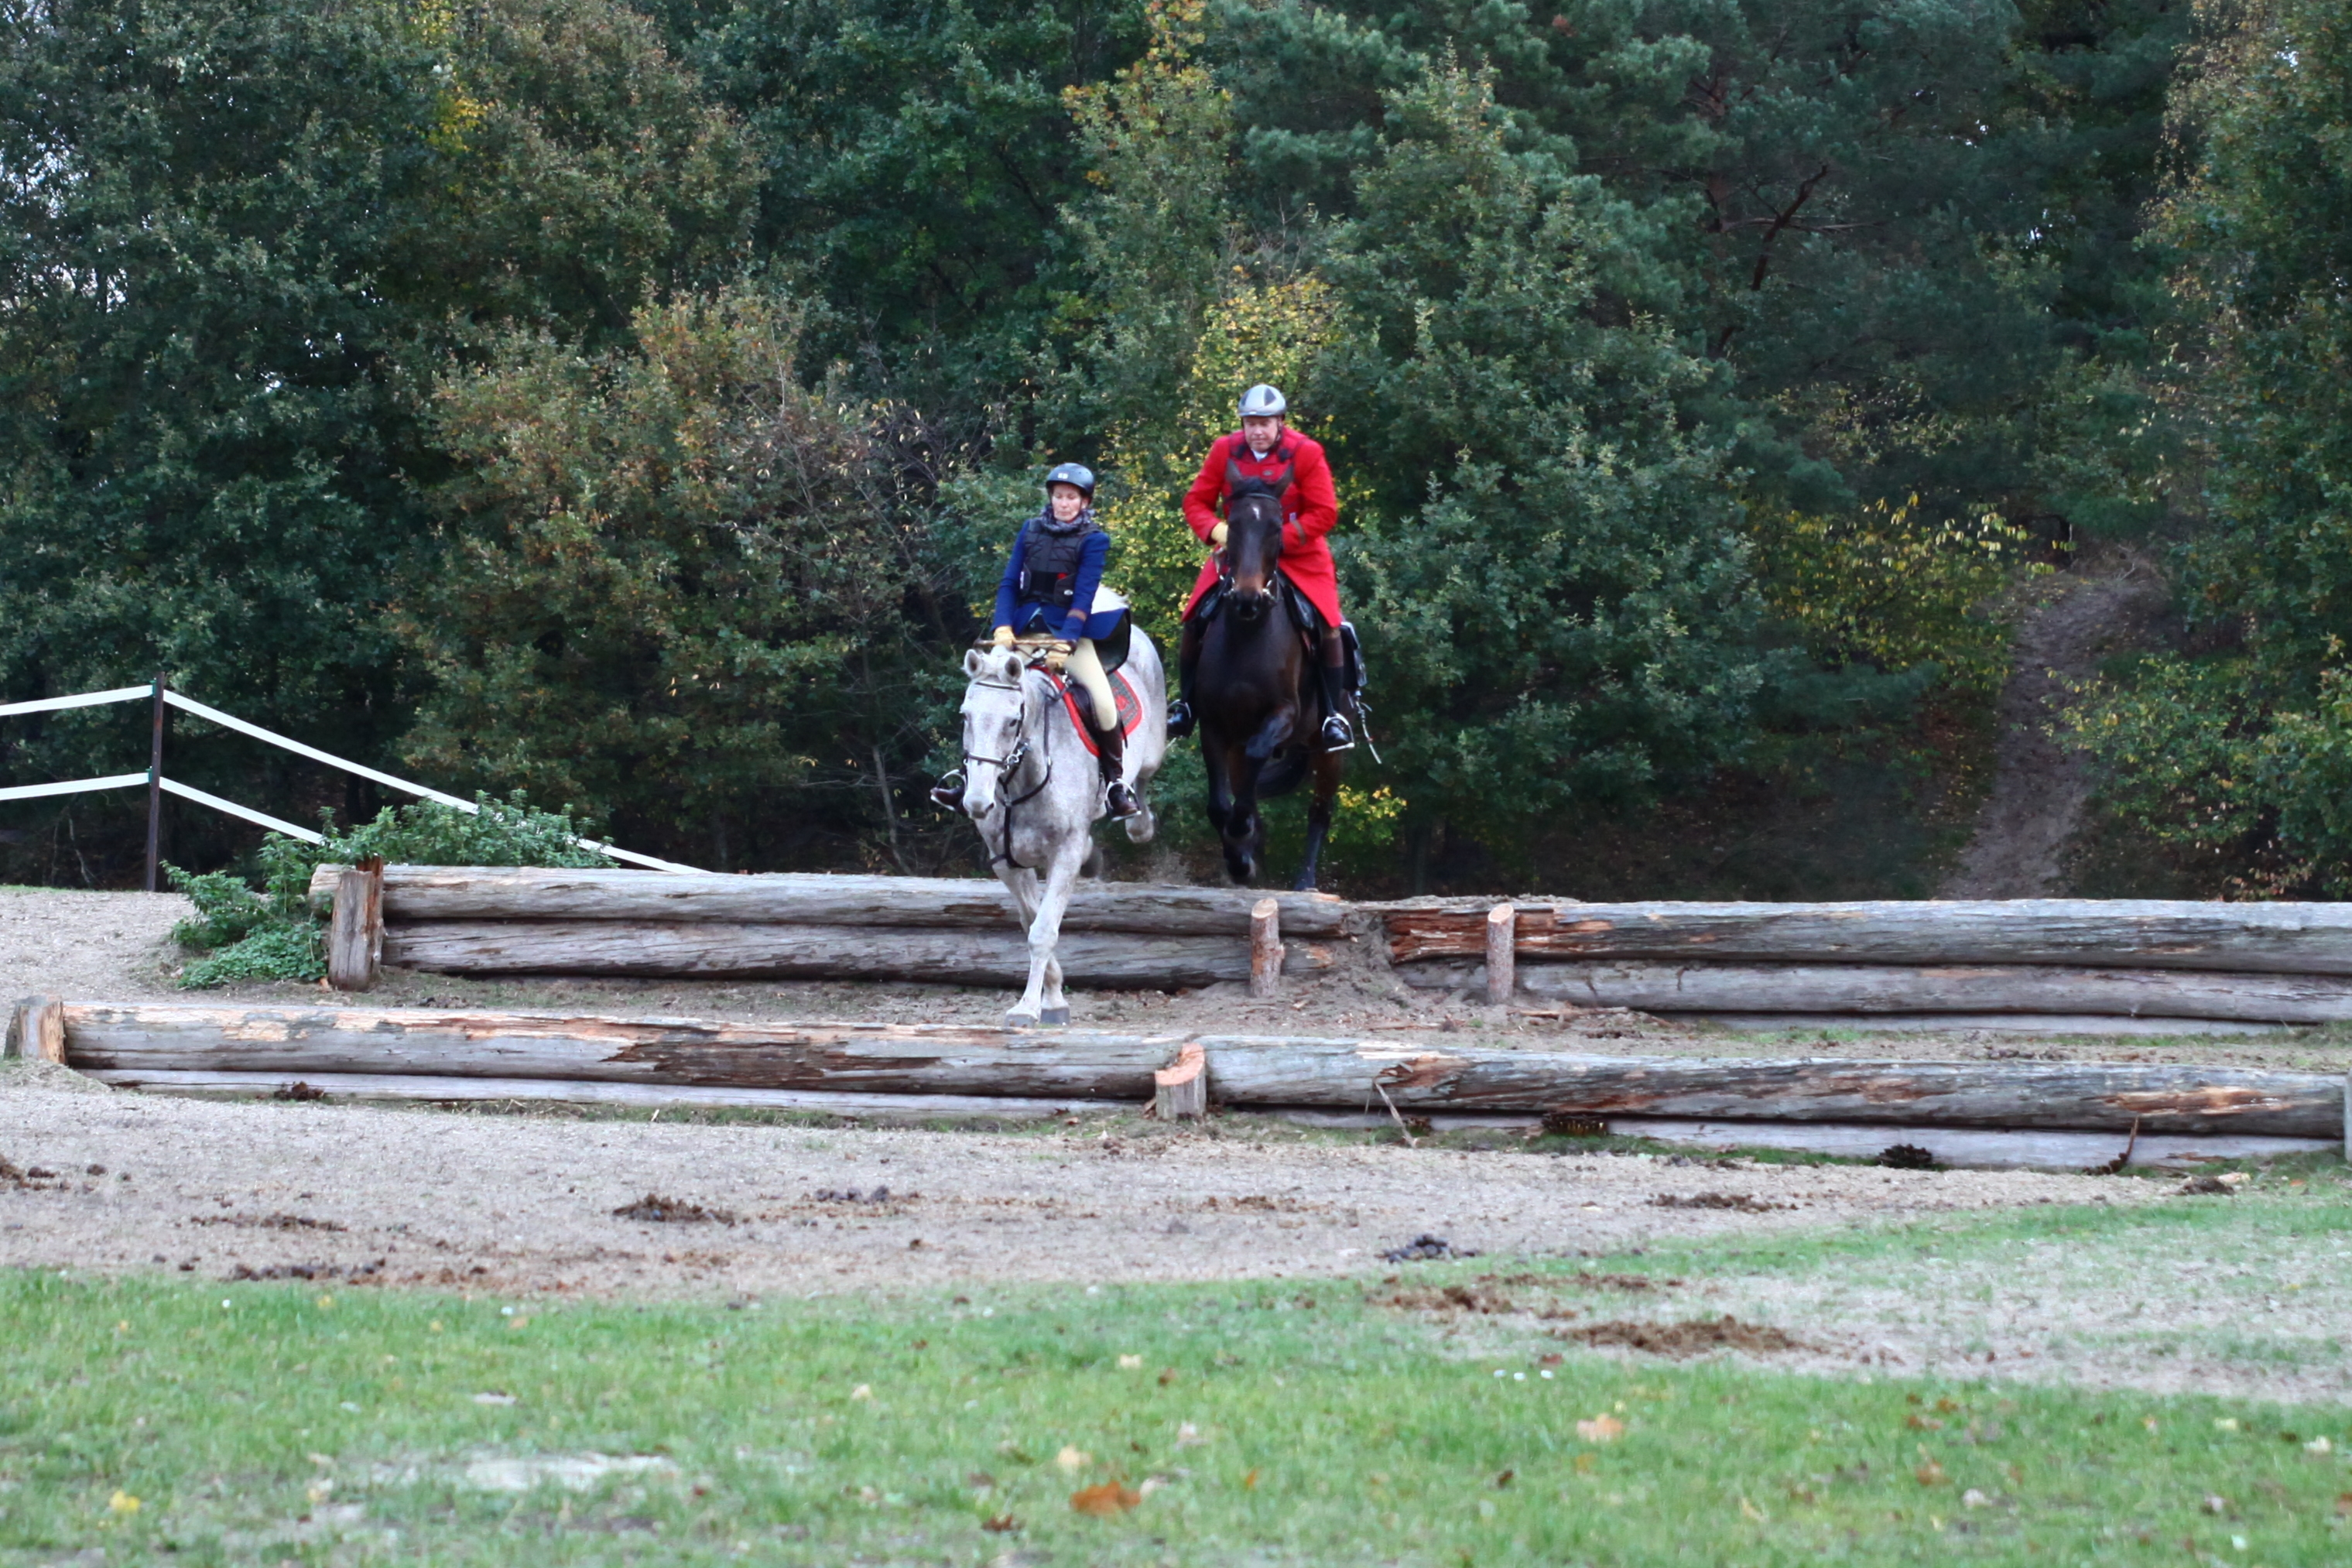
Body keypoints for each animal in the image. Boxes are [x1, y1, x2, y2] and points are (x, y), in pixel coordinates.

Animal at [955, 616, 1166, 1027]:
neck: (1020, 779)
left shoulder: (1063, 854)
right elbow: (1032, 921)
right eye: (966, 716)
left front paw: (1029, 1008)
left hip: (1151, 751)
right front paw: (1051, 998)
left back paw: (1136, 819)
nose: (977, 803)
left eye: (1012, 722)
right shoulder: (1007, 862)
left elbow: (1043, 930)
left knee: (1142, 781)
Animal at [1194, 491, 1346, 889]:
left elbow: (1258, 754)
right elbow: (1220, 804)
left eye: (1276, 529)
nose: (1248, 599)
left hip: (1328, 751)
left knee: (1320, 811)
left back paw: (1305, 879)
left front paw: (1242, 832)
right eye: (1232, 526)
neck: (1247, 635)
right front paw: (1239, 860)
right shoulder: (1213, 725)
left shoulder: (1283, 714)